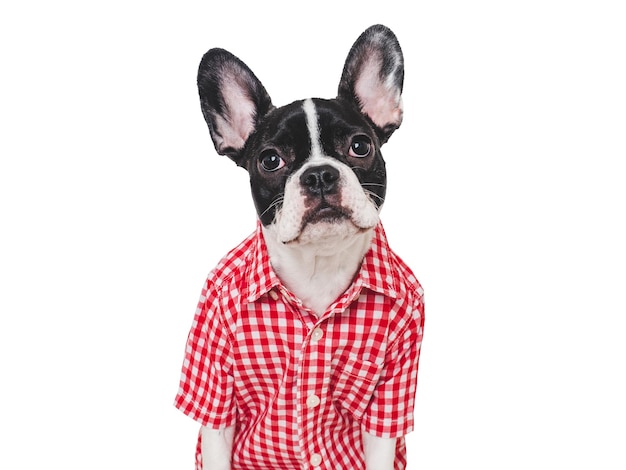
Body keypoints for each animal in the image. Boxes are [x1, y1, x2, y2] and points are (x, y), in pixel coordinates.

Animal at [178, 25, 426, 470]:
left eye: (360, 146)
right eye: (270, 160)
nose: (320, 175)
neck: (318, 265)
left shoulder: (391, 392)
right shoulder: (216, 382)